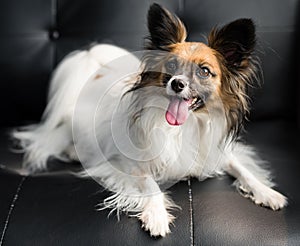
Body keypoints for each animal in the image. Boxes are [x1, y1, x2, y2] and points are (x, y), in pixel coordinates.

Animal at [12, 3, 288, 236]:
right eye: (172, 65)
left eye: (204, 71)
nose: (176, 84)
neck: (185, 126)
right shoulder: (129, 163)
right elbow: (150, 185)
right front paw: (156, 216)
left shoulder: (218, 152)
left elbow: (243, 169)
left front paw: (267, 192)